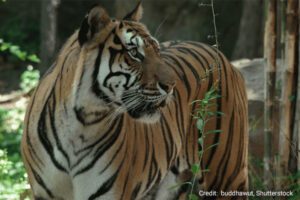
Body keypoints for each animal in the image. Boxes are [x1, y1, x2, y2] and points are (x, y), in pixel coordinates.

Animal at [19, 1, 247, 200]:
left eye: (157, 50)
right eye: (135, 53)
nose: (171, 85)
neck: (81, 123)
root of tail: (220, 54)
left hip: (228, 177)